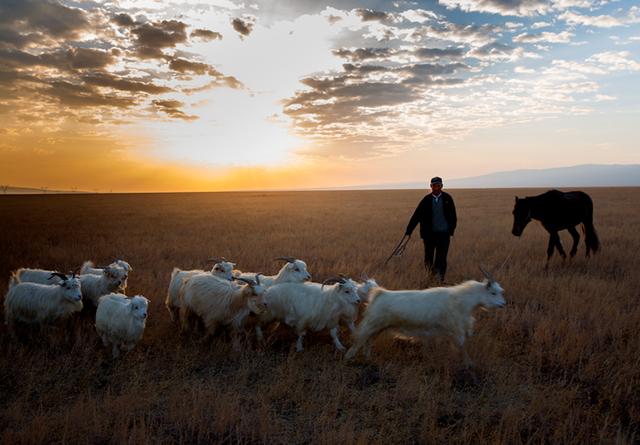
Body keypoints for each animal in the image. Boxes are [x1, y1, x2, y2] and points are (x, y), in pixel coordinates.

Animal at [344, 268, 504, 364]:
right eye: (493, 293)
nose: (503, 304)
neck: (460, 300)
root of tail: (380, 293)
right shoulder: (456, 330)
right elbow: (462, 346)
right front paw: (469, 364)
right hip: (373, 324)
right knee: (360, 340)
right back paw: (348, 358)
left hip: (379, 327)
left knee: (368, 341)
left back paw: (367, 358)